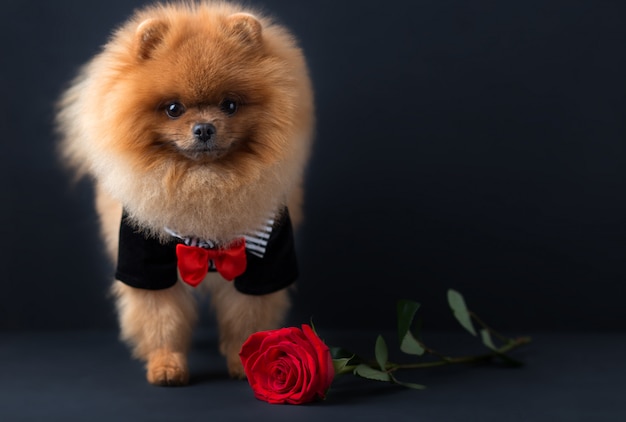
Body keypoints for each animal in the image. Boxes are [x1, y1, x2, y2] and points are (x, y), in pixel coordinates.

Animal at [55, 0, 312, 384]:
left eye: (230, 105)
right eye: (173, 108)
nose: (204, 128)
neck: (203, 183)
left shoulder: (263, 262)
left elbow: (245, 318)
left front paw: (244, 361)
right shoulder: (145, 262)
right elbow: (162, 319)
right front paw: (166, 365)